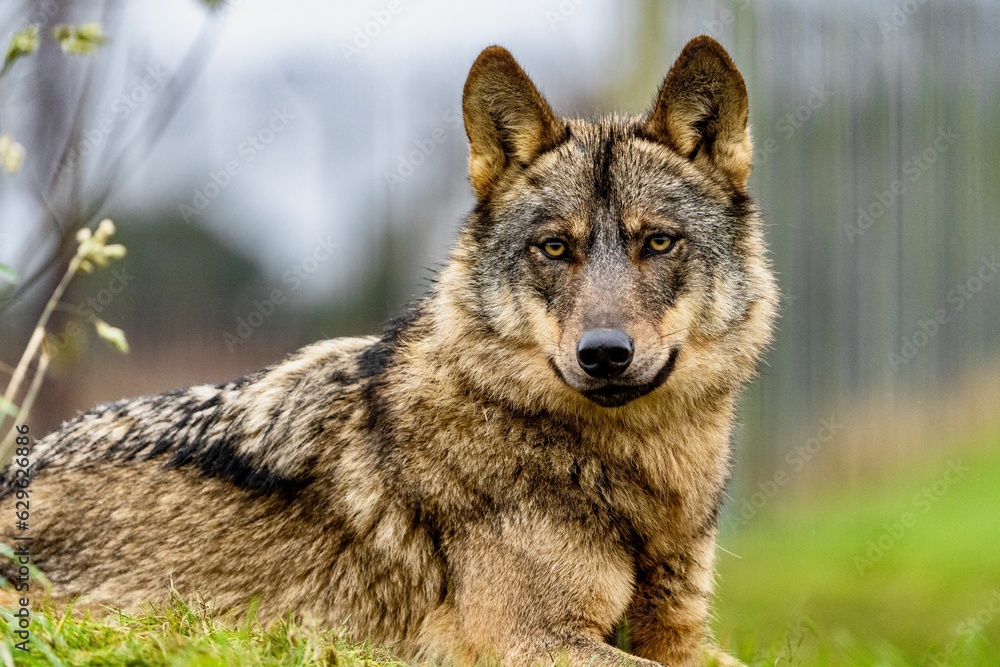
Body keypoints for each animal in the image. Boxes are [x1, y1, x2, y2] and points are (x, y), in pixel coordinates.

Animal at [2, 36, 777, 666]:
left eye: (659, 242)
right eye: (556, 247)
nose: (605, 354)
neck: (631, 470)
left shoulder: (682, 633)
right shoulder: (534, 638)